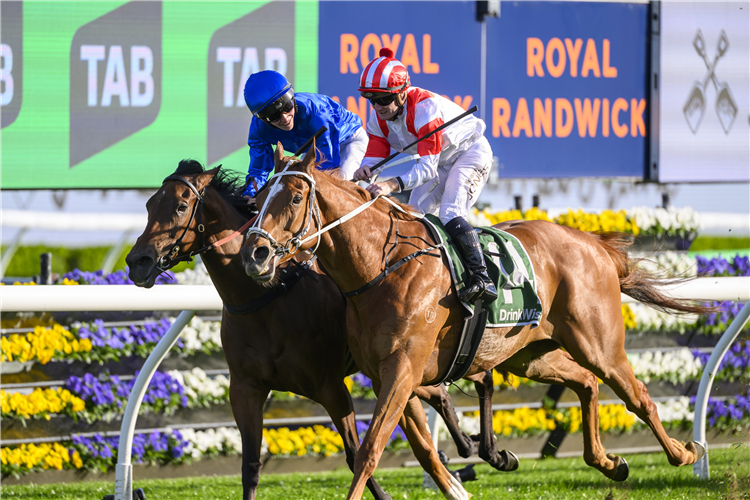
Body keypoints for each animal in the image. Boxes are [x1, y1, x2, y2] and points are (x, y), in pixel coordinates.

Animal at [128, 162, 516, 498]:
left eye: (181, 206)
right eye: (148, 204)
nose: (137, 262)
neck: (266, 298)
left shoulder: (329, 386)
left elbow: (355, 453)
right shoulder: (245, 389)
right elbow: (250, 465)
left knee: (477, 378)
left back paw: (489, 452)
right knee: (440, 390)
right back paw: (474, 447)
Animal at [241, 143, 712, 498]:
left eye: (295, 198)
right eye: (259, 197)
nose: (254, 255)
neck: (382, 266)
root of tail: (591, 242)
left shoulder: (403, 370)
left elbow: (370, 449)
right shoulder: (385, 374)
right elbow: (410, 448)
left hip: (598, 343)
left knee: (637, 396)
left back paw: (685, 453)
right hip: (528, 355)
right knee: (586, 382)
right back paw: (609, 462)